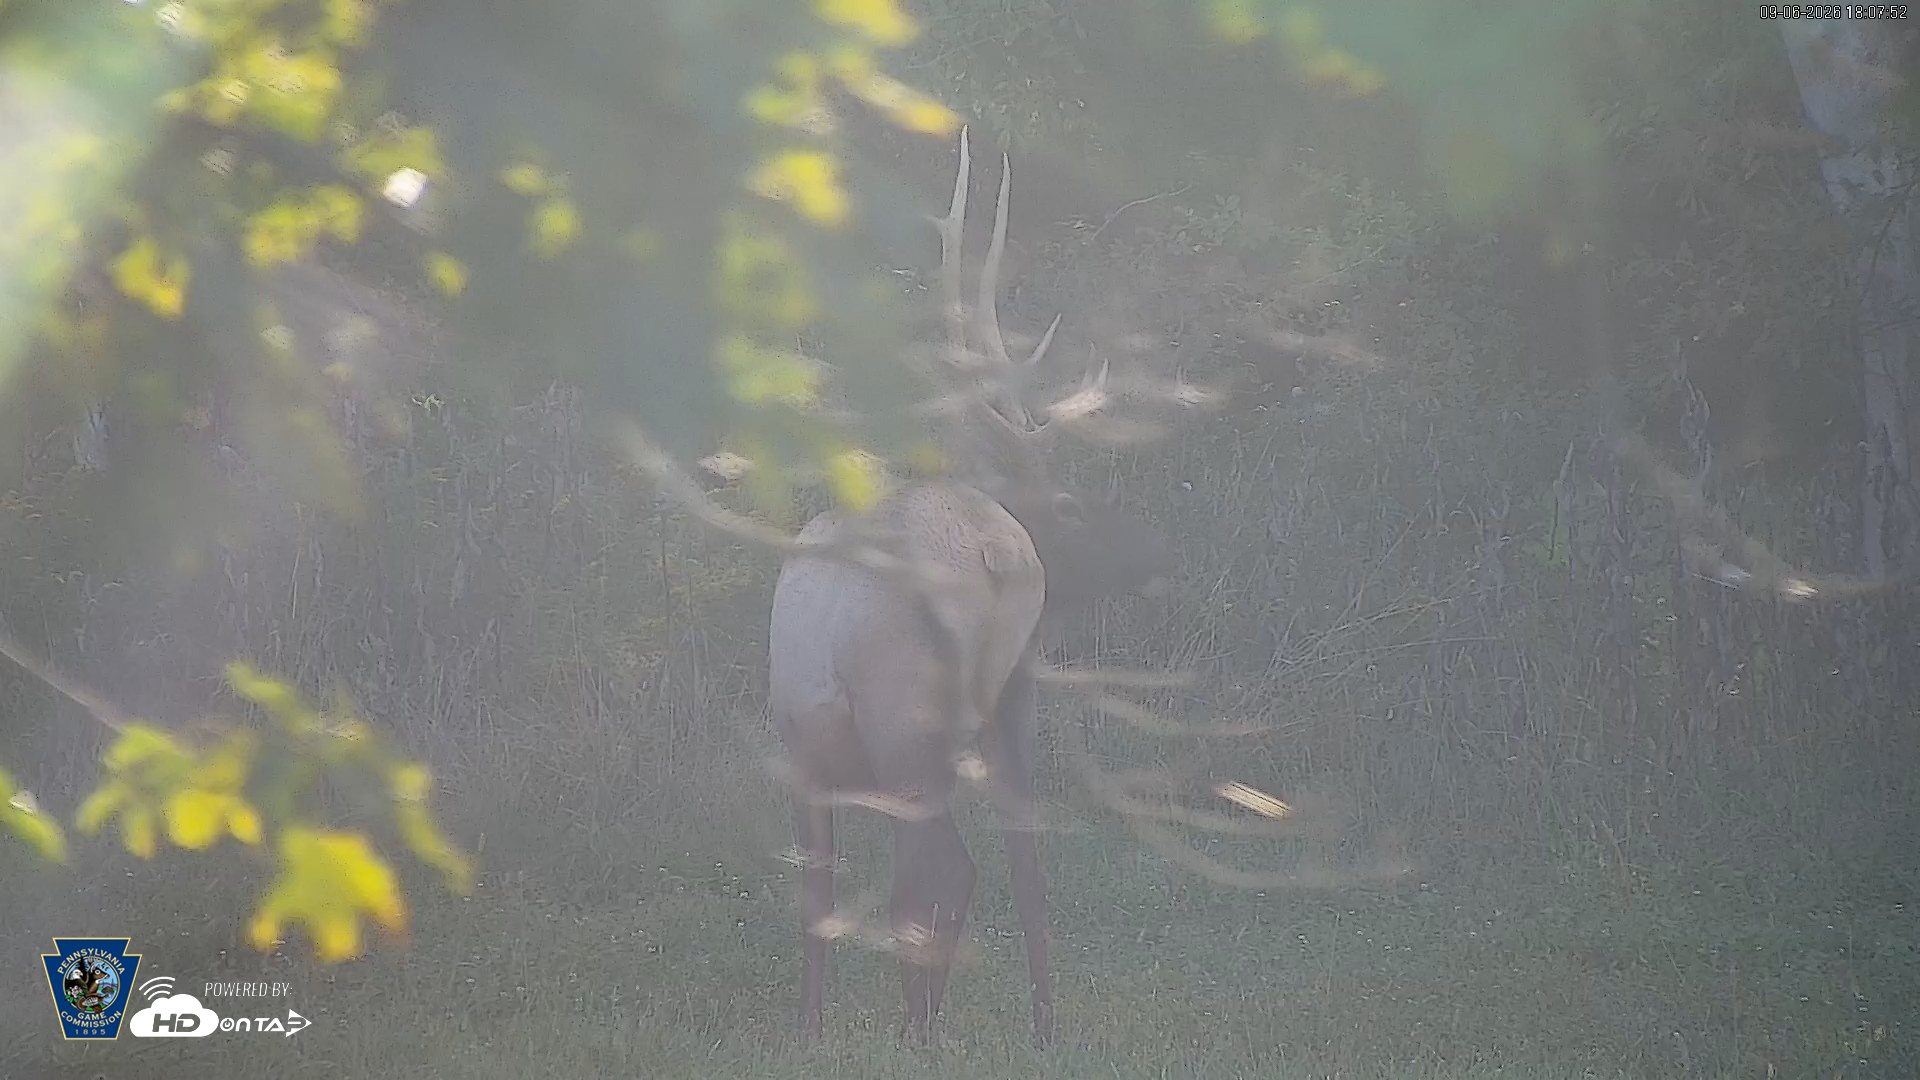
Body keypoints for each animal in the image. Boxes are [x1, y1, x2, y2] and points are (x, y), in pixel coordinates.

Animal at [766, 127, 1177, 1047]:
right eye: (1071, 500)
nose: (1156, 555)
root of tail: (996, 554)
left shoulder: (806, 750)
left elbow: (818, 893)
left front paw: (809, 1027)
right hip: (1012, 699)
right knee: (1023, 864)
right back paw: (1039, 1024)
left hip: (907, 726)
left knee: (940, 870)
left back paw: (919, 1028)